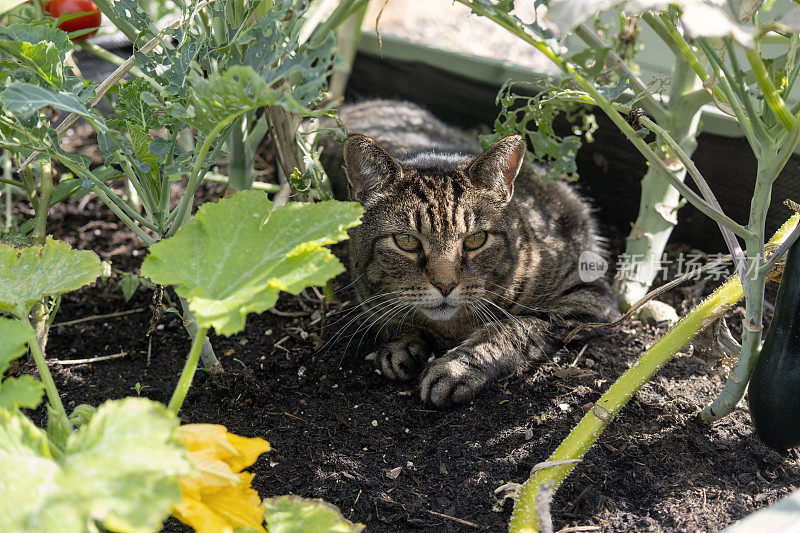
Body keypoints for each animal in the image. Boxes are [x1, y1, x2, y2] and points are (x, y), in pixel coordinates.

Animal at [324, 101, 612, 408]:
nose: (445, 286)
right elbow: (395, 319)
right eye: (406, 241)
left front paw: (454, 369)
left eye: (476, 239)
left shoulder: (585, 294)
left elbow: (512, 328)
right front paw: (400, 345)